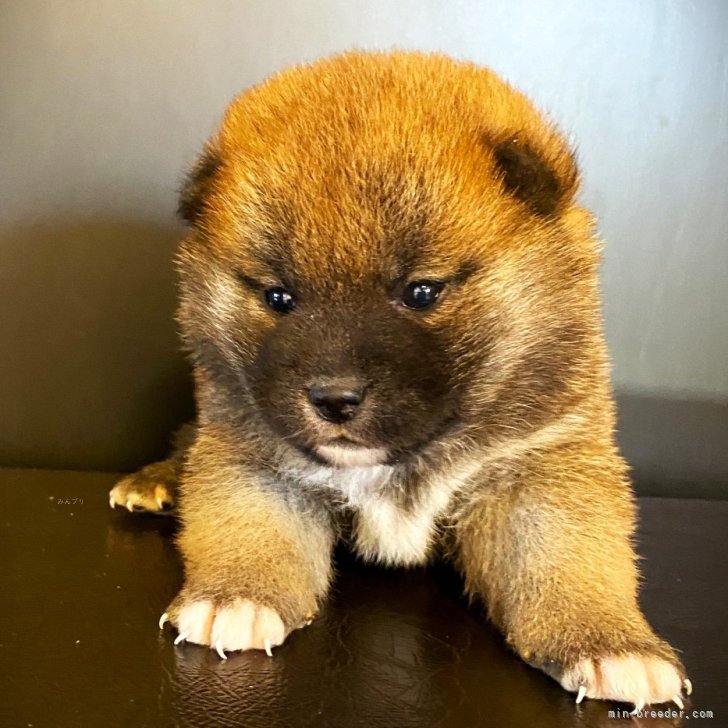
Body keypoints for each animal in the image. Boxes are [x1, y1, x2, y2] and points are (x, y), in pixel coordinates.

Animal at [111, 51, 692, 712]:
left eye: (421, 291)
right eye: (279, 297)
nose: (334, 398)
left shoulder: (540, 469)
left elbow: (567, 561)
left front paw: (609, 644)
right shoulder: (251, 455)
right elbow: (249, 529)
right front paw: (236, 596)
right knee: (182, 442)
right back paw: (153, 482)